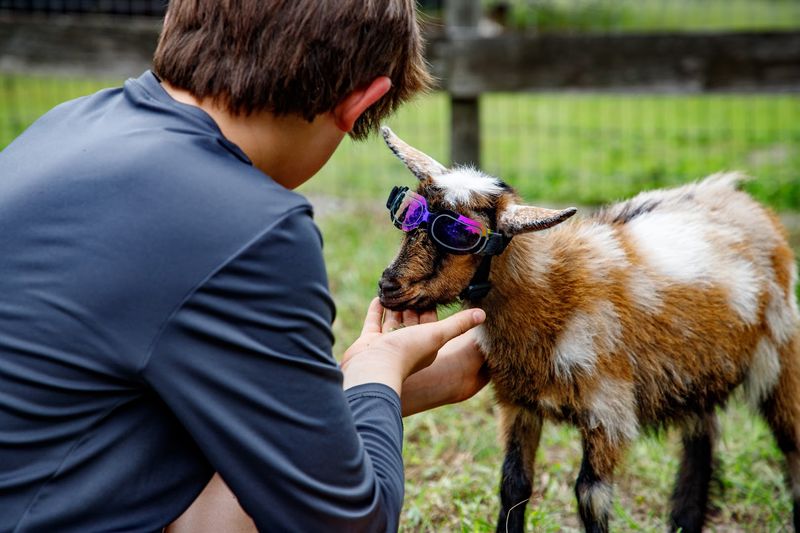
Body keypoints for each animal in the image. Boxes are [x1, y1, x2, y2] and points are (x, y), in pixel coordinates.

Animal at [377, 127, 800, 532]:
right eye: (407, 212)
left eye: (460, 234)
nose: (388, 286)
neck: (554, 291)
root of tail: (743, 198)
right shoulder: (519, 403)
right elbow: (513, 485)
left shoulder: (608, 412)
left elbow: (589, 496)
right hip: (697, 373)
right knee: (701, 444)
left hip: (779, 356)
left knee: (791, 445)